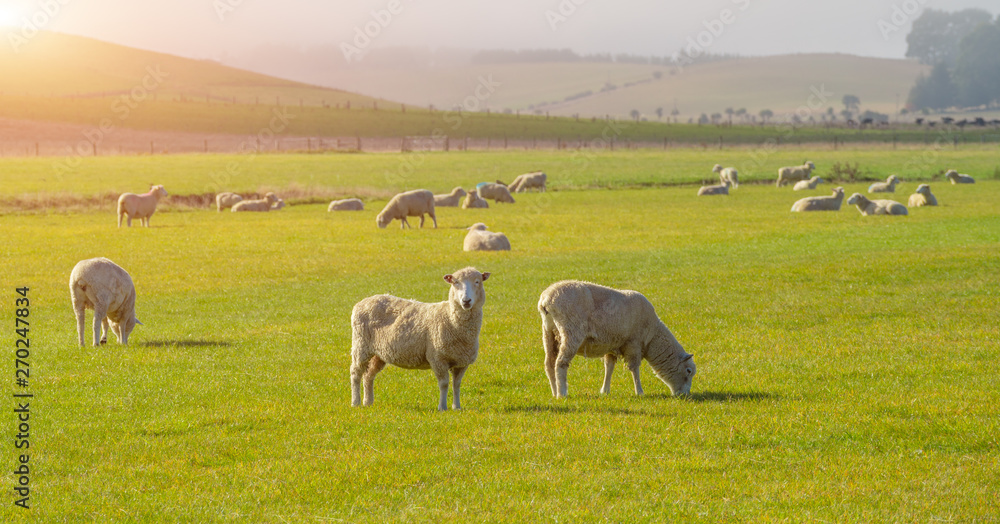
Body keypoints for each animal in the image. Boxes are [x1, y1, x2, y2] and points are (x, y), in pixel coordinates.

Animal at [350, 267, 491, 410]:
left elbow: (456, 384)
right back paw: (356, 402)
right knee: (356, 373)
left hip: (378, 353)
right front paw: (442, 407)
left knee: (368, 375)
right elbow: (444, 384)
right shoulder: (437, 358)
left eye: (477, 282)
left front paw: (456, 407)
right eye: (455, 282)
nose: (466, 301)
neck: (450, 318)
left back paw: (368, 402)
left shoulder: (462, 362)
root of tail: (363, 302)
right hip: (361, 346)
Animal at [538, 280, 695, 398]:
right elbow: (634, 368)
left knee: (549, 363)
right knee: (560, 363)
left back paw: (554, 392)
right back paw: (562, 393)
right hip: (571, 331)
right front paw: (639, 391)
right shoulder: (634, 343)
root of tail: (547, 299)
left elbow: (609, 367)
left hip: (548, 333)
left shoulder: (612, 344)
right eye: (688, 371)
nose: (684, 396)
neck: (653, 336)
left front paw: (605, 391)